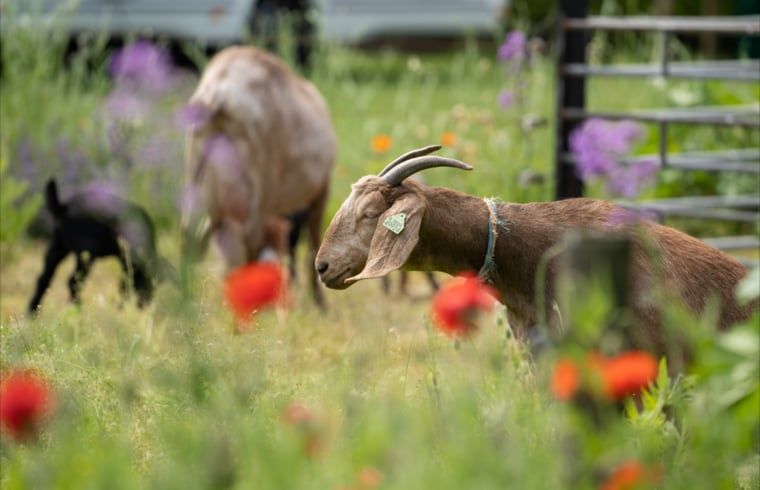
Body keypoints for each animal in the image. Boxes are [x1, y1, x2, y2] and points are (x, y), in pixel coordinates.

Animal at [28, 179, 162, 313]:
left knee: (43, 279)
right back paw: (79, 310)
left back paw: (32, 312)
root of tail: (64, 208)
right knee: (72, 281)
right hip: (87, 253)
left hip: (58, 247)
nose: (143, 306)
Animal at [182, 45, 335, 306]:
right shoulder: (321, 190)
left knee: (192, 239)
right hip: (260, 189)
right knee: (250, 247)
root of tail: (219, 93)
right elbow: (312, 248)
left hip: (198, 175)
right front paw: (318, 304)